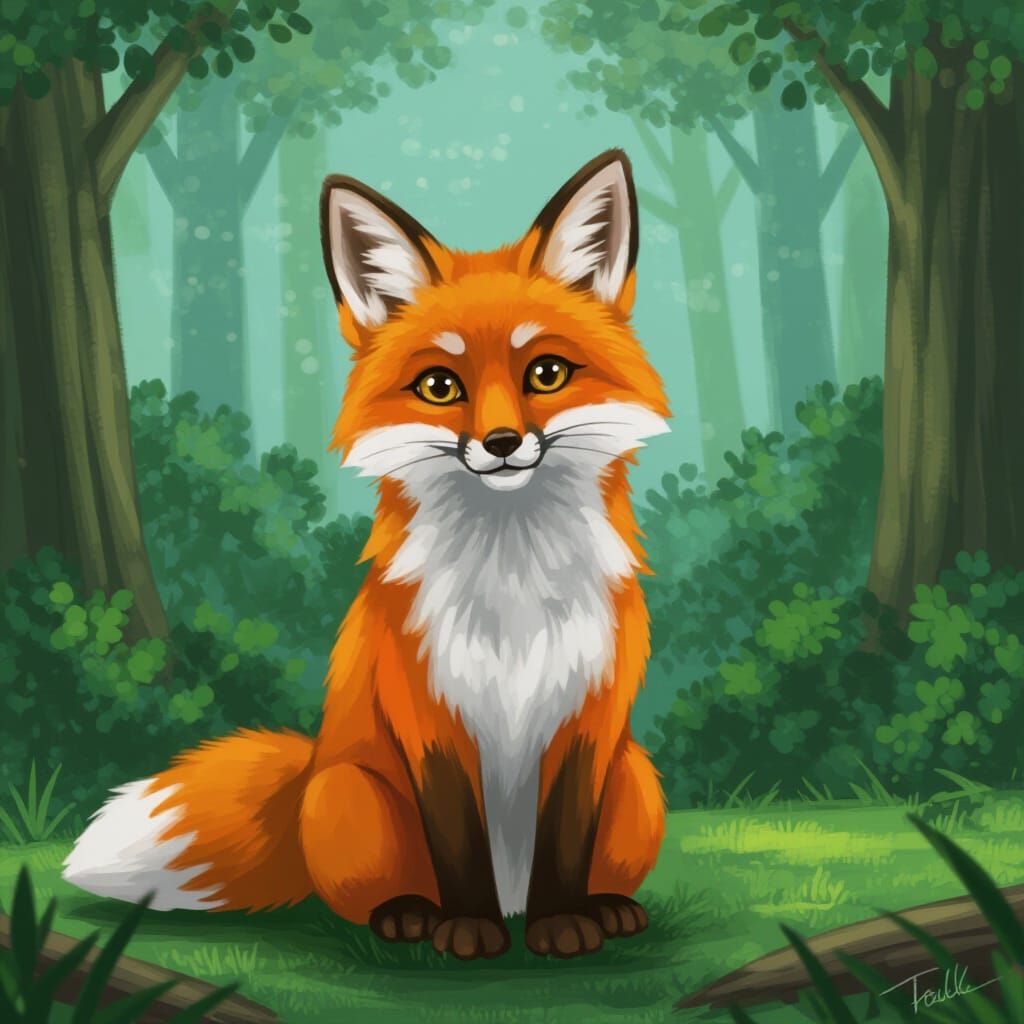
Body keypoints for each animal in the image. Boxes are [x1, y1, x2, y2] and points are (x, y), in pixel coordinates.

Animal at [63, 149, 671, 960]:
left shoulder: (588, 721)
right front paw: (466, 928)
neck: (510, 581)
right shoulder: (426, 715)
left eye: (546, 373)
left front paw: (563, 924)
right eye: (440, 386)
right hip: (349, 794)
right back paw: (412, 917)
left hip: (638, 781)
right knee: (370, 896)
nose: (502, 443)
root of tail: (313, 764)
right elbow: (457, 839)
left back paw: (602, 909)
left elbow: (566, 839)